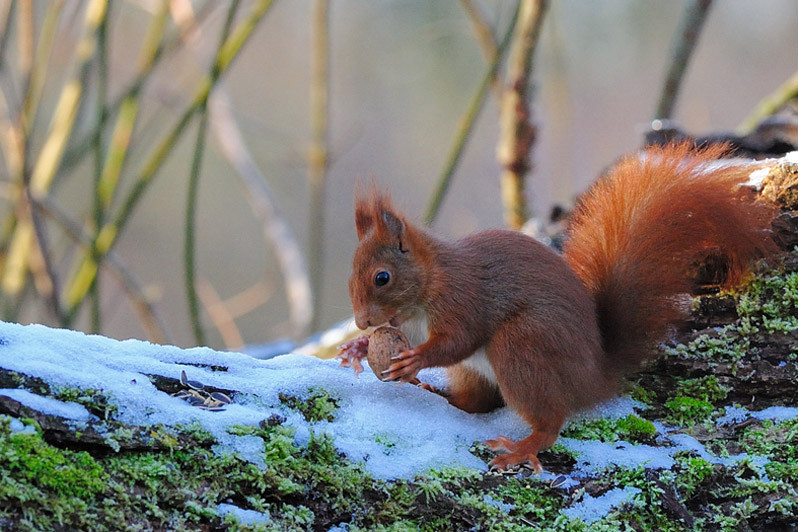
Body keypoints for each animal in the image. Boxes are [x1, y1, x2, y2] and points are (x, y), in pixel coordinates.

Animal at [340, 142, 778, 472]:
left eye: (382, 277)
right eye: (351, 273)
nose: (361, 321)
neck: (425, 290)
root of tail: (595, 377)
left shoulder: (463, 299)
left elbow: (459, 340)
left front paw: (415, 360)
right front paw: (358, 349)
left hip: (521, 346)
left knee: (549, 422)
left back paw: (523, 446)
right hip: (480, 370)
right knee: (478, 402)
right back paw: (441, 394)